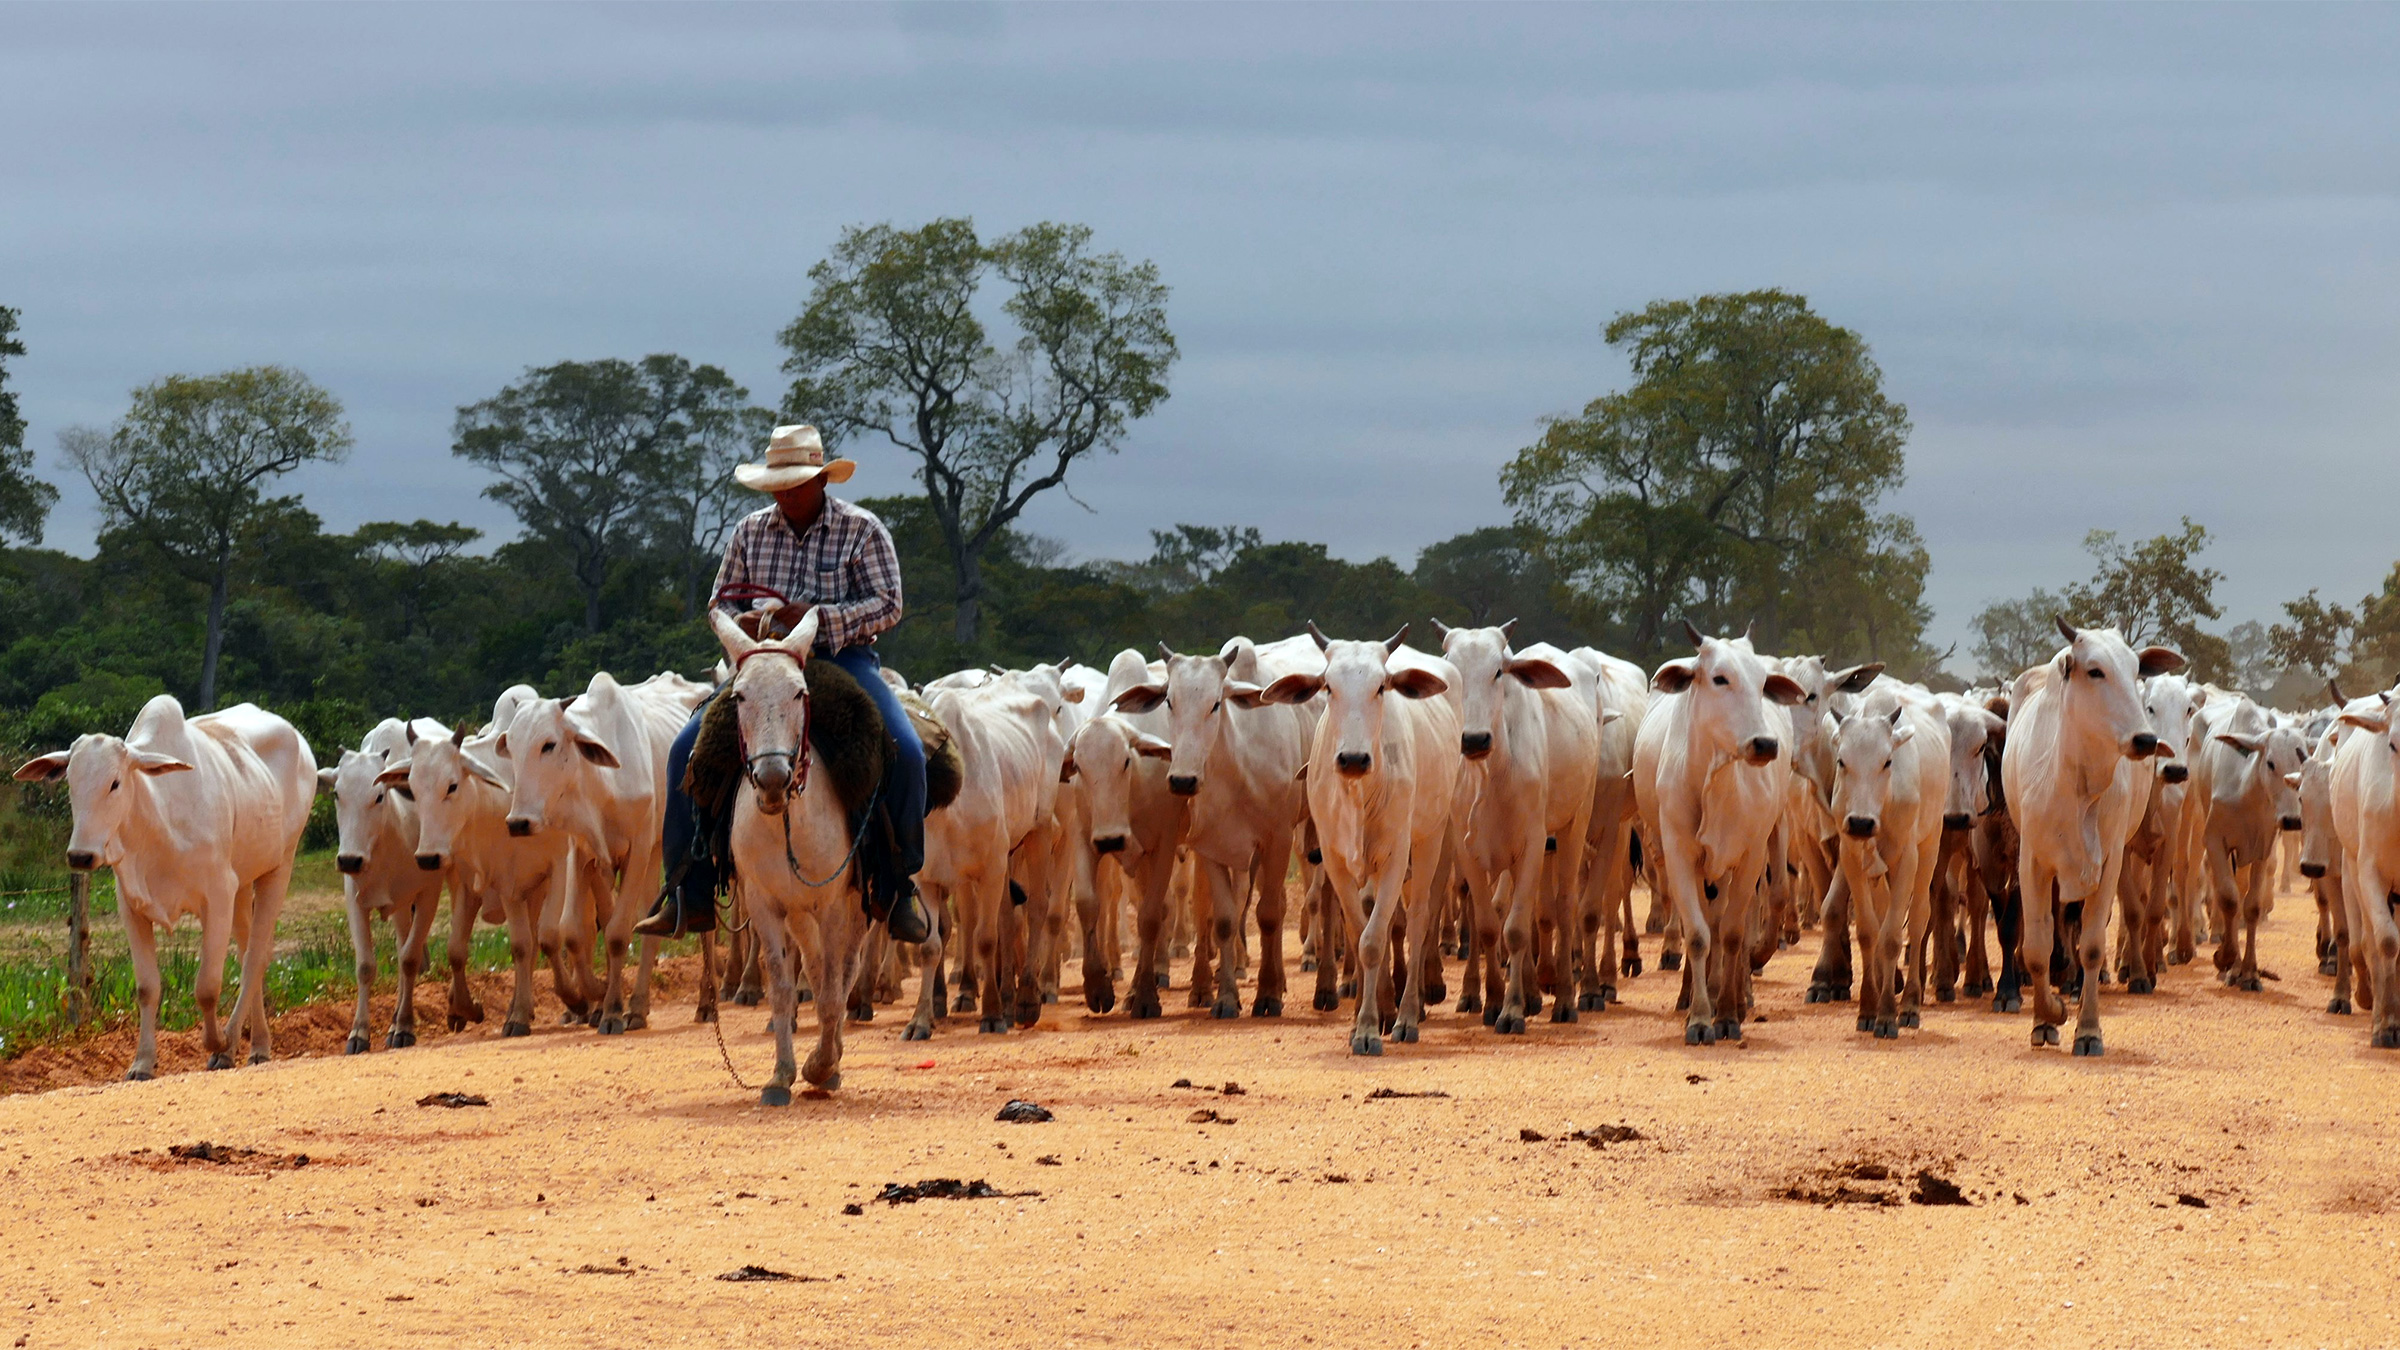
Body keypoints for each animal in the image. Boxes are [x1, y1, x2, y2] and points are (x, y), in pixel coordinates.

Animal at [17, 696, 314, 1076]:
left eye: (115, 783)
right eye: (70, 782)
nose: (81, 856)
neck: (156, 819)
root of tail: (299, 740)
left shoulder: (218, 895)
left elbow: (207, 987)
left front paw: (217, 1042)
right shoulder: (131, 906)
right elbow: (147, 988)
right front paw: (142, 1062)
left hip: (279, 868)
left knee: (254, 960)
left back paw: (238, 1045)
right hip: (243, 886)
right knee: (249, 952)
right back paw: (255, 1044)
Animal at [316, 715, 448, 1052]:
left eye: (378, 796)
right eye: (336, 794)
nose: (349, 860)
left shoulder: (428, 893)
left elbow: (409, 960)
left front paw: (404, 1027)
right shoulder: (354, 899)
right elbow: (366, 966)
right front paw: (359, 1033)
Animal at [1257, 624, 1459, 1052]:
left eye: (1381, 687)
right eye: (1328, 687)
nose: (1352, 759)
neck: (1359, 793)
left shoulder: (1395, 855)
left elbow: (1373, 940)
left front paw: (1372, 1026)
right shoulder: (1333, 858)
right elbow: (1356, 931)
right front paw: (1363, 1021)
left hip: (1430, 838)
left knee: (1418, 921)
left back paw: (1406, 1014)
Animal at [1632, 619, 1804, 1042]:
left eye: (1762, 683)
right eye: (1719, 678)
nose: (1764, 743)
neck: (1716, 780)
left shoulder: (1749, 856)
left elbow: (1733, 934)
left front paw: (1726, 1014)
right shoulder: (1678, 853)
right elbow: (1697, 934)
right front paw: (1698, 1017)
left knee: (1743, 918)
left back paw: (1738, 997)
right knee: (1702, 923)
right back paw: (1691, 994)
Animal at [1996, 614, 2188, 1056]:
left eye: (2136, 673)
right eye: (2095, 670)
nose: (2145, 739)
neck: (2078, 784)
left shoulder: (2111, 861)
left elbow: (2093, 946)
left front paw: (2087, 1028)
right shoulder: (2032, 862)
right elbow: (2036, 948)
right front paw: (2046, 1018)